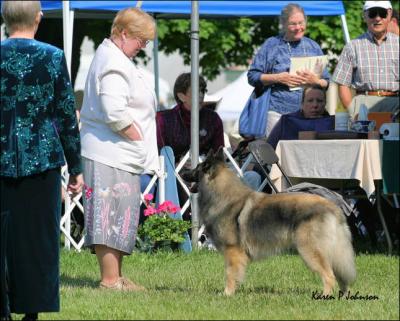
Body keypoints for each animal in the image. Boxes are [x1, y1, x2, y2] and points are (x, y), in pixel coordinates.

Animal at [182, 148, 356, 296]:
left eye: (196, 169)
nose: (183, 172)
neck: (220, 194)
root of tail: (333, 208)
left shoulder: (233, 252)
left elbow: (230, 274)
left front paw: (227, 294)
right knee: (340, 277)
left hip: (310, 250)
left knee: (329, 275)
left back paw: (325, 296)